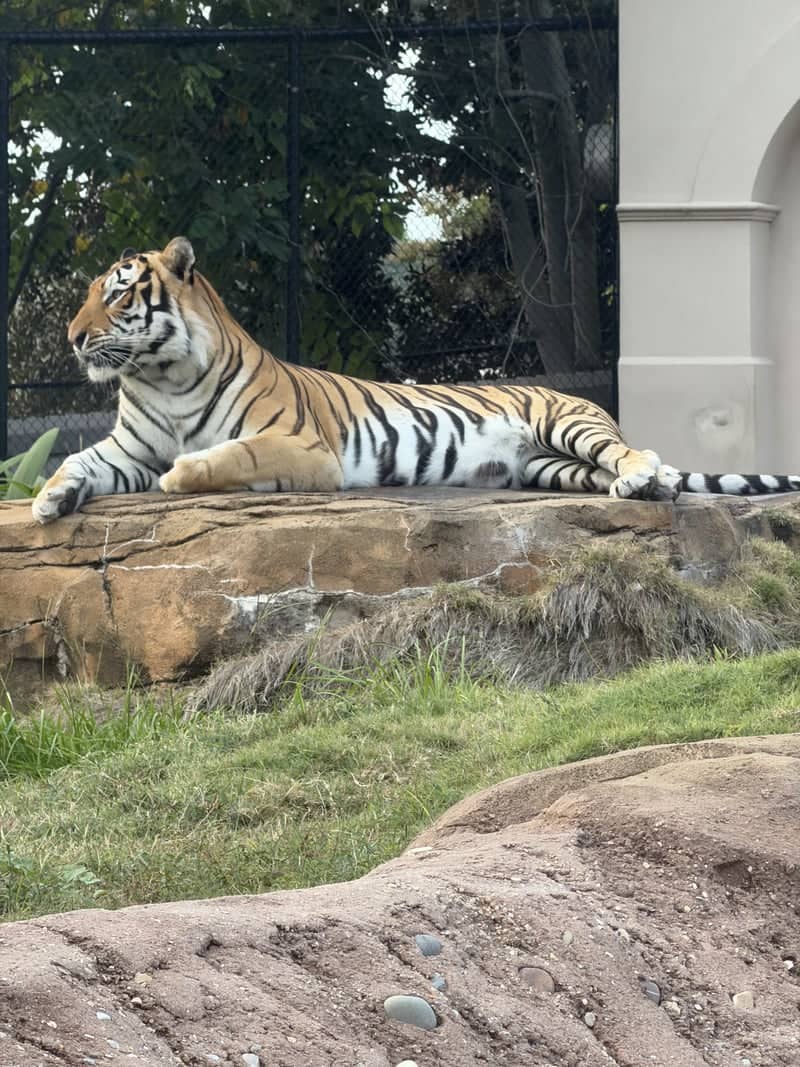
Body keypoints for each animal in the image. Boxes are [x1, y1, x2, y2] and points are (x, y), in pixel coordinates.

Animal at [31, 236, 800, 525]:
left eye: (118, 294)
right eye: (90, 294)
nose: (71, 336)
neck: (160, 374)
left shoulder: (302, 447)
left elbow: (225, 456)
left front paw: (181, 476)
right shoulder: (126, 448)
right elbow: (78, 460)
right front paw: (48, 498)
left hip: (567, 422)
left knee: (632, 449)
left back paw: (645, 477)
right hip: (549, 467)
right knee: (619, 469)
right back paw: (649, 485)